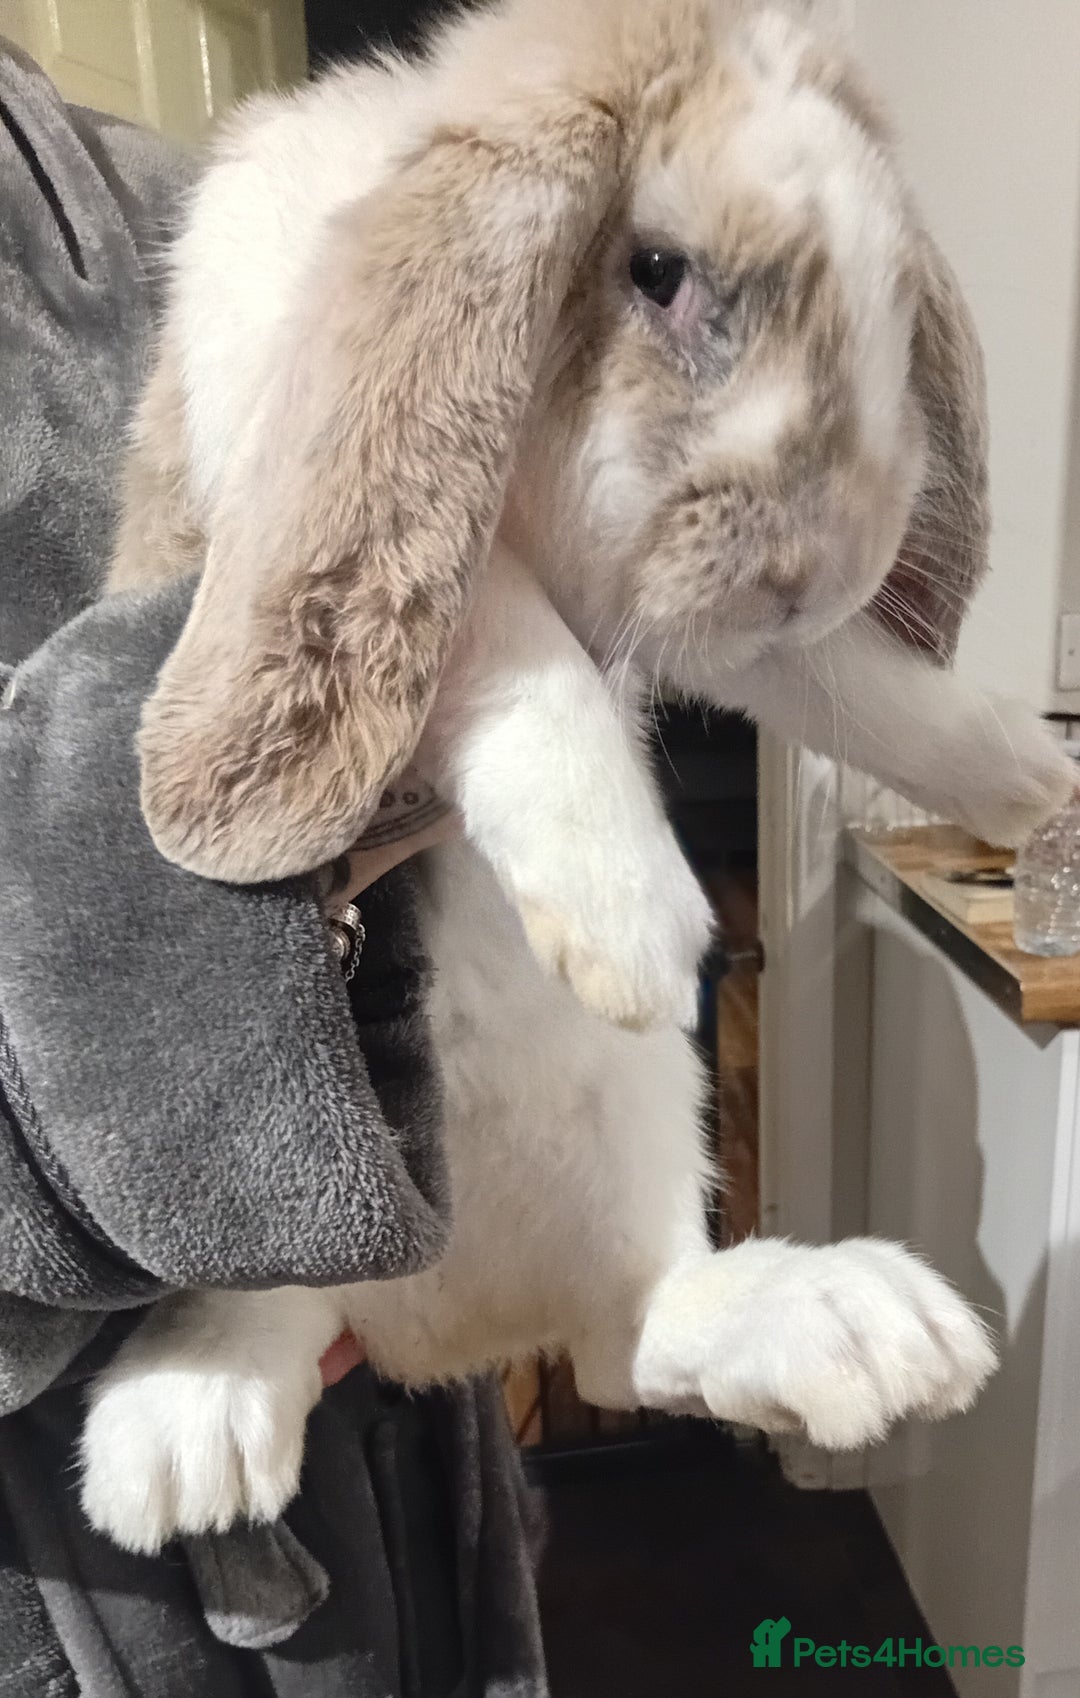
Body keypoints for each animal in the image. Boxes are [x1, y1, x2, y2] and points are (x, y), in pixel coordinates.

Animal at [82, 0, 1069, 1554]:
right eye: (655, 271)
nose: (815, 565)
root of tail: (451, 1332)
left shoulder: (752, 647)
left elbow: (858, 685)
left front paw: (1032, 779)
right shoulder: (346, 484)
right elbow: (489, 618)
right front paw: (632, 920)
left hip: (647, 1129)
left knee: (639, 1334)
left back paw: (853, 1328)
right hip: (261, 1190)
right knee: (283, 1308)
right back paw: (180, 1439)